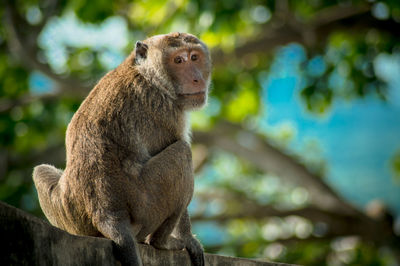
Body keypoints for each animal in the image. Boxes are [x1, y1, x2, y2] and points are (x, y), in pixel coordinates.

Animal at [32, 31, 211, 266]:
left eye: (195, 57)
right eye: (178, 60)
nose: (197, 78)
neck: (145, 73)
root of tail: (107, 213)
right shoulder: (166, 110)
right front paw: (188, 238)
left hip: (70, 211)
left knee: (39, 170)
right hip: (146, 205)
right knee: (182, 152)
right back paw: (162, 242)